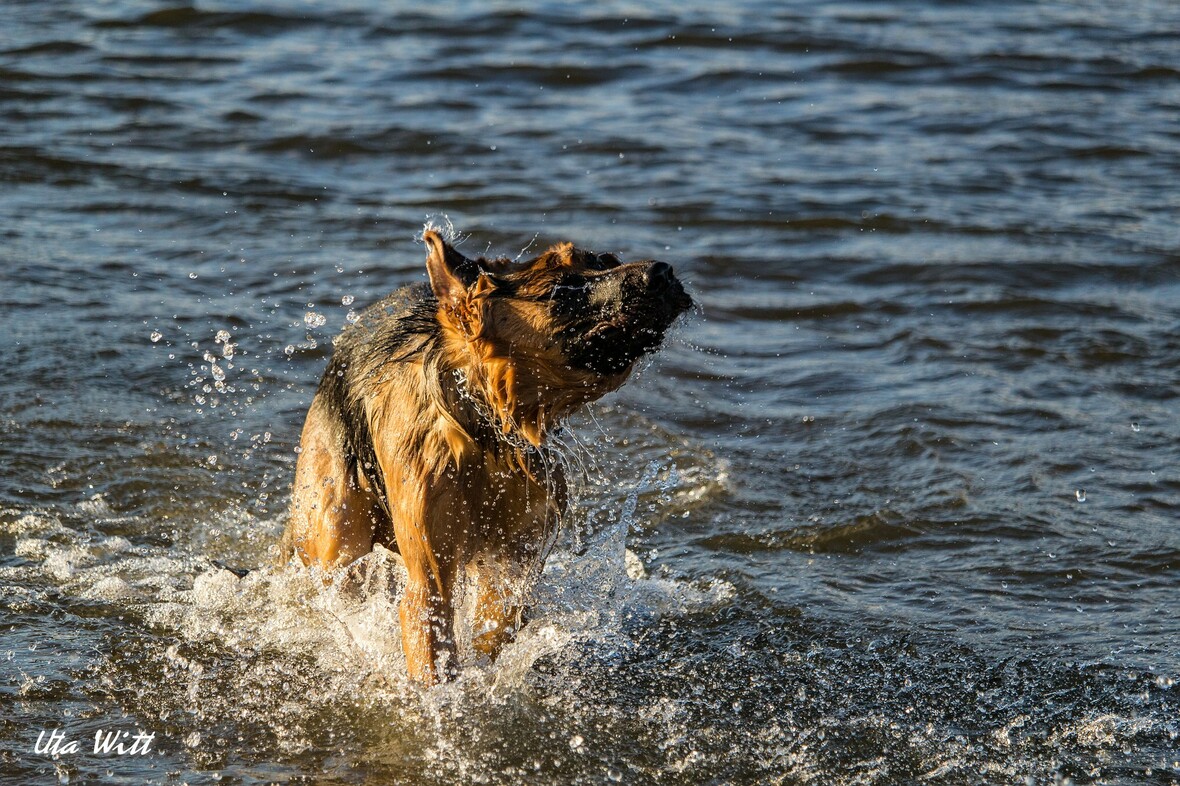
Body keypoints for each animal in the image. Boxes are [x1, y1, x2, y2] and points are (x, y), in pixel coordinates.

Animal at [279, 226, 689, 679]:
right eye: (559, 291)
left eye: (605, 259)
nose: (663, 271)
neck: (486, 427)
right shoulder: (429, 582)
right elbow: (434, 659)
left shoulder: (513, 565)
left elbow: (494, 631)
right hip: (336, 536)